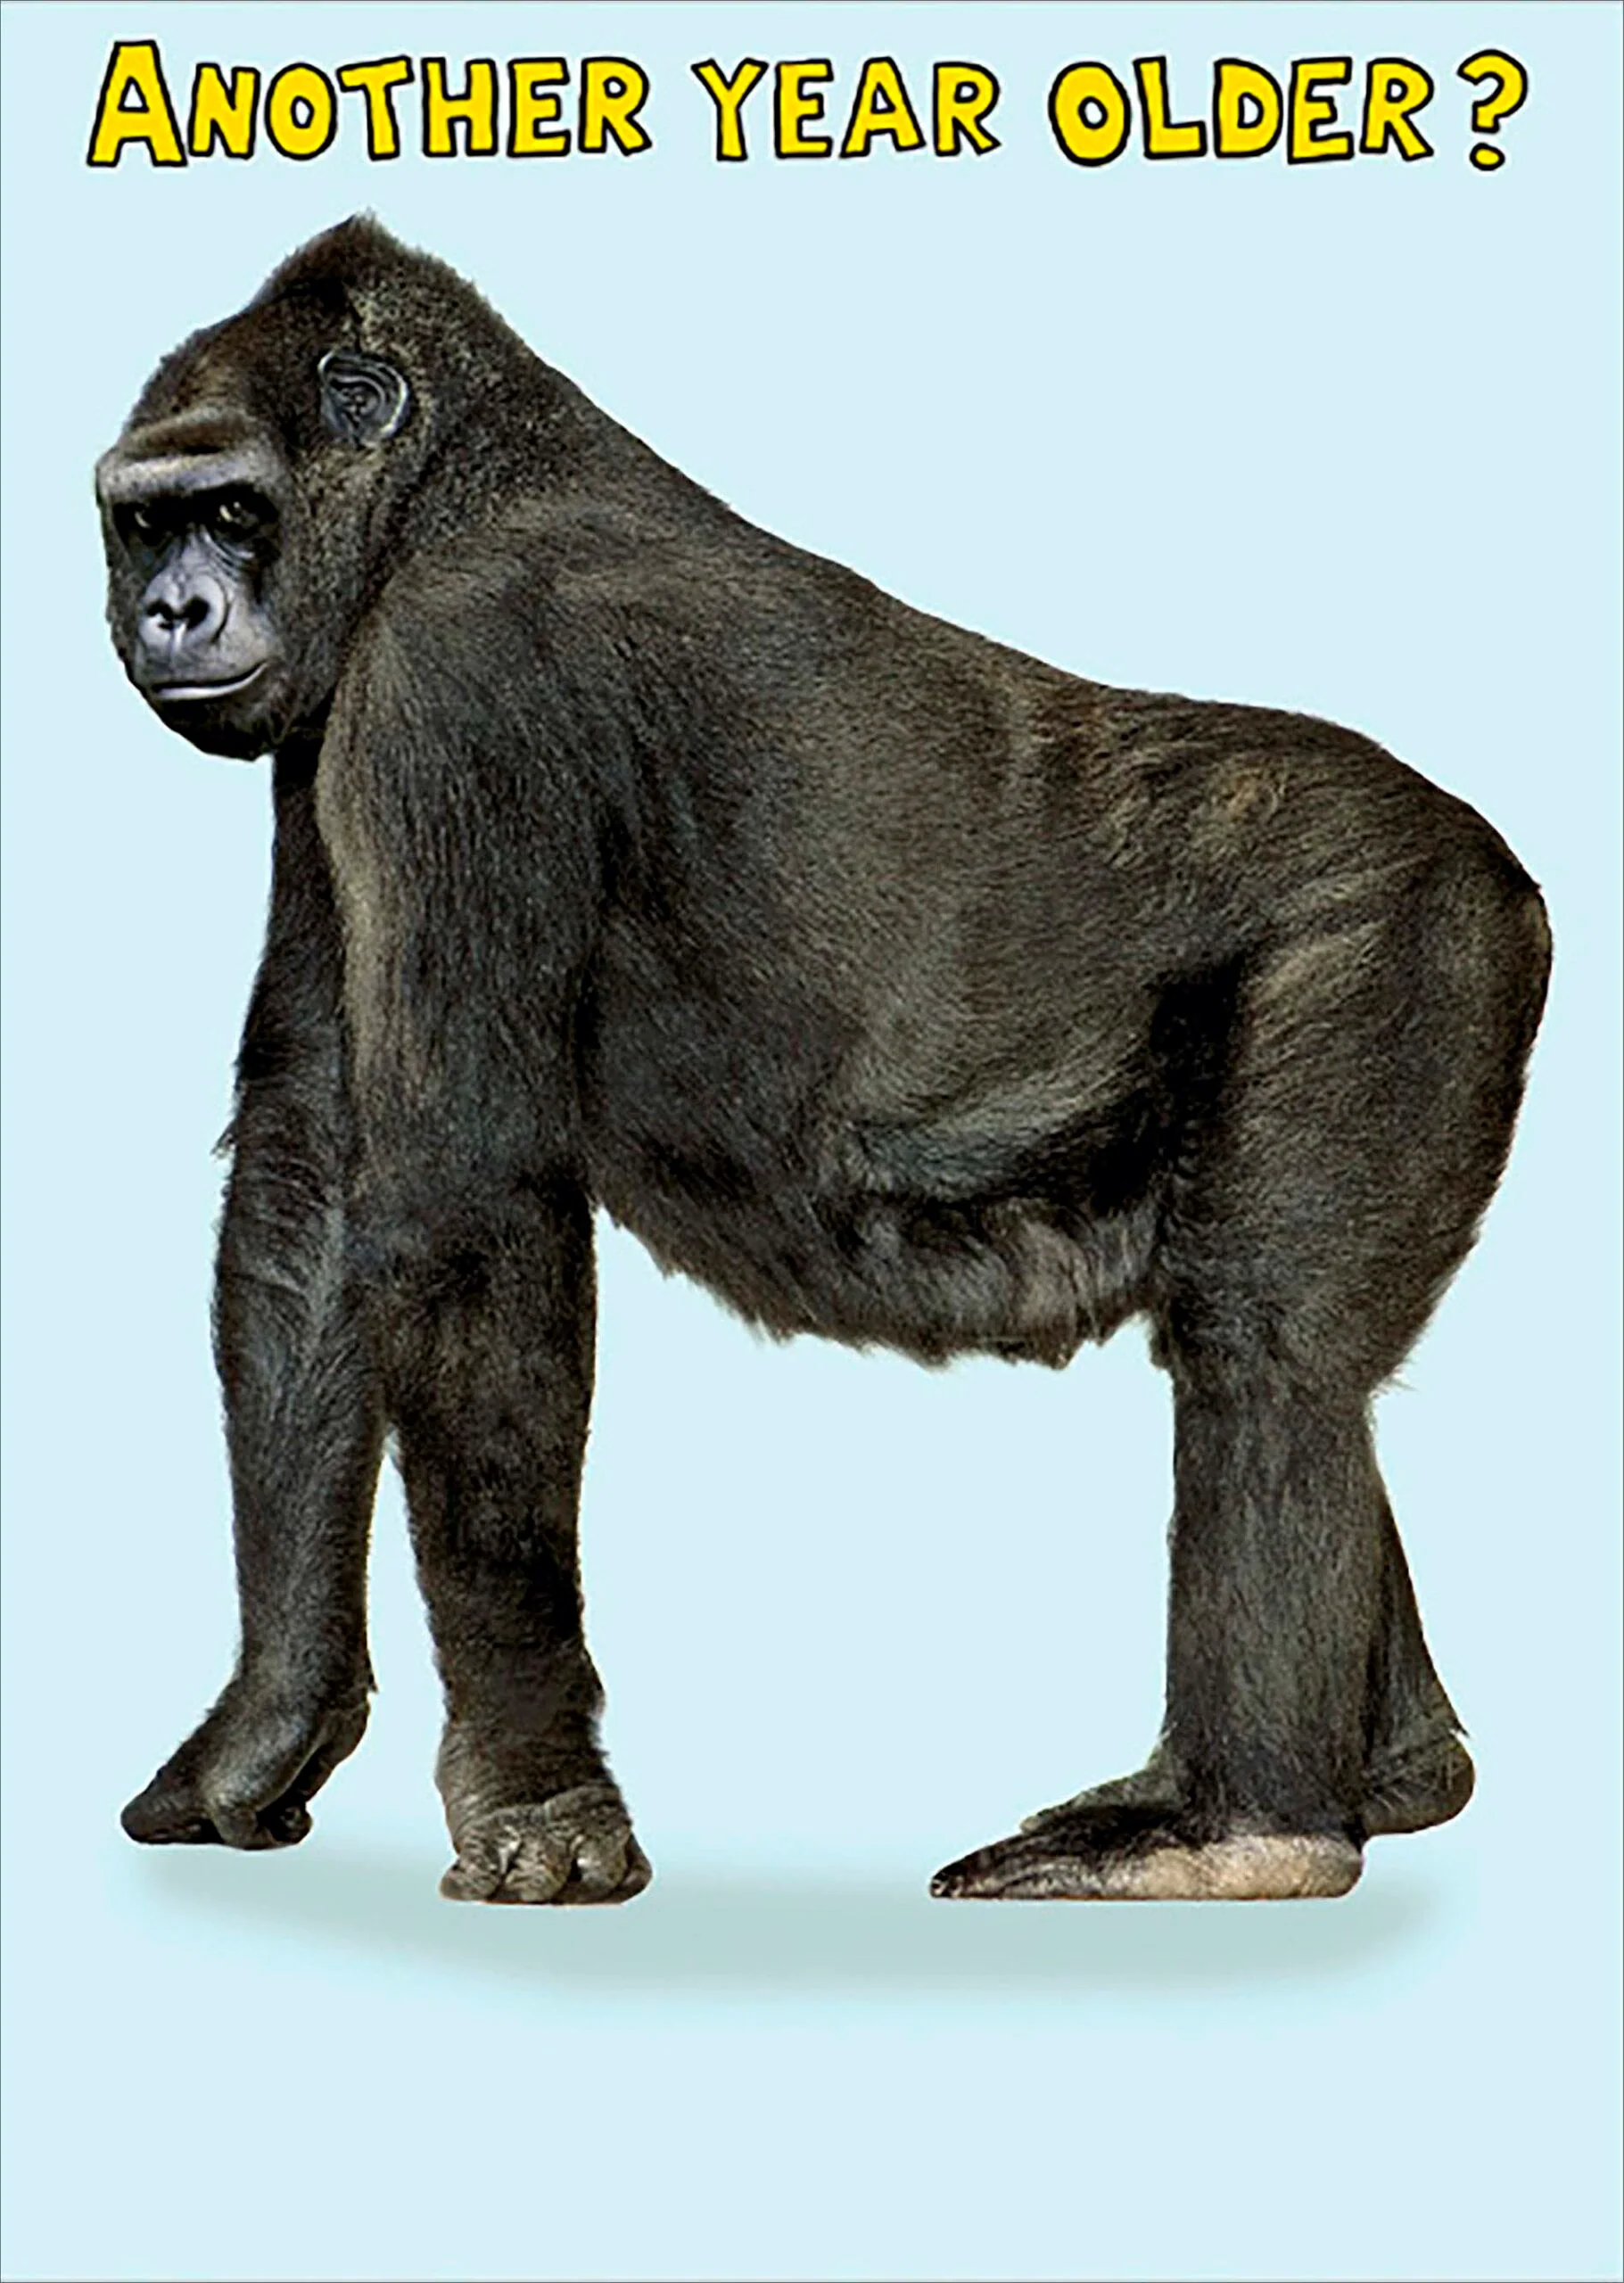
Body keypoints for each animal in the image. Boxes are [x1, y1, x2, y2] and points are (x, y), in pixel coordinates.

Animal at [97, 218, 1549, 1904]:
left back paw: (1251, 1826)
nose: (171, 612)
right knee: (1279, 1350)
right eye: (145, 523)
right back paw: (1387, 1771)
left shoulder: (458, 683)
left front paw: (535, 1793)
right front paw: (266, 1728)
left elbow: (463, 1207)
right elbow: (313, 1176)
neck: (448, 482)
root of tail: (1504, 868)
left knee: (1270, 1356)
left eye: (230, 510)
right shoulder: (332, 734)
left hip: (1412, 927)